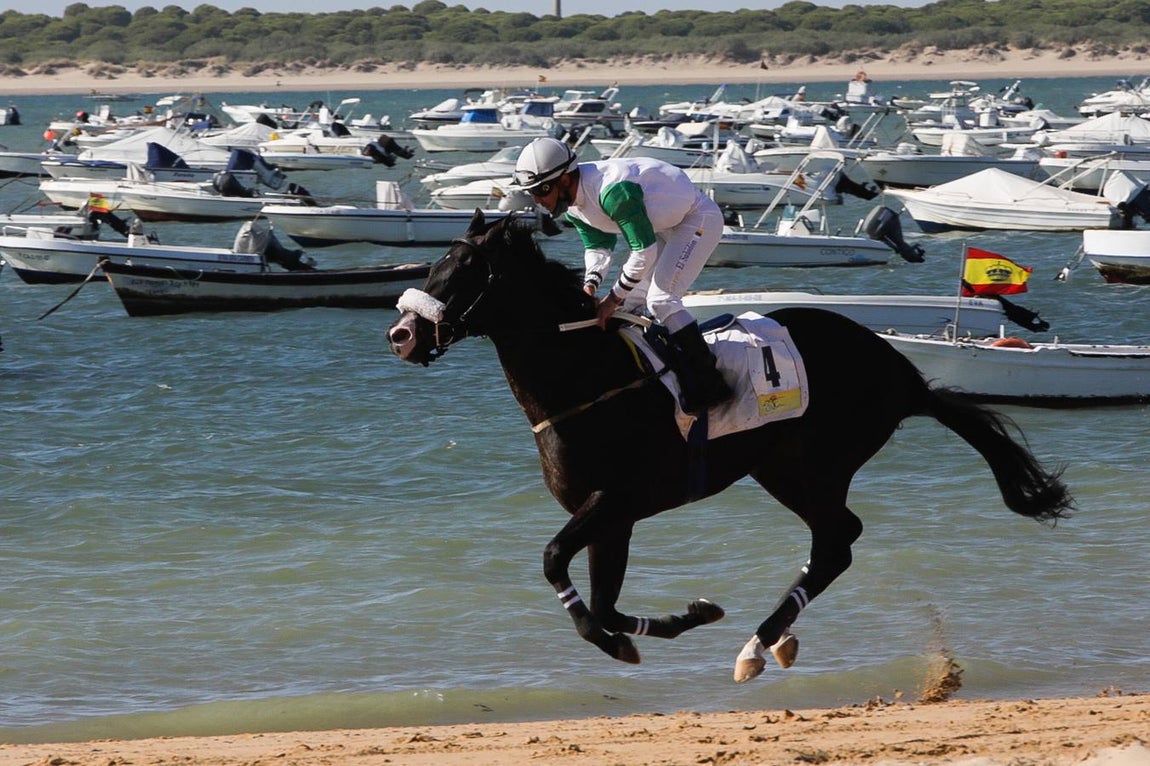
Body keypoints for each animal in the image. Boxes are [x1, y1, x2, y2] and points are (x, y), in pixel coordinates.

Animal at [387, 210, 1073, 682]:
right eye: (433, 265)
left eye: (461, 271)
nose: (402, 335)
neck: (587, 380)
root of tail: (900, 371)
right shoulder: (612, 517)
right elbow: (608, 600)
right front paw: (684, 616)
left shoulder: (616, 498)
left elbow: (556, 562)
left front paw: (614, 642)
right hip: (783, 469)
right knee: (836, 542)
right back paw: (767, 639)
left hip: (811, 465)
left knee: (837, 541)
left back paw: (760, 644)